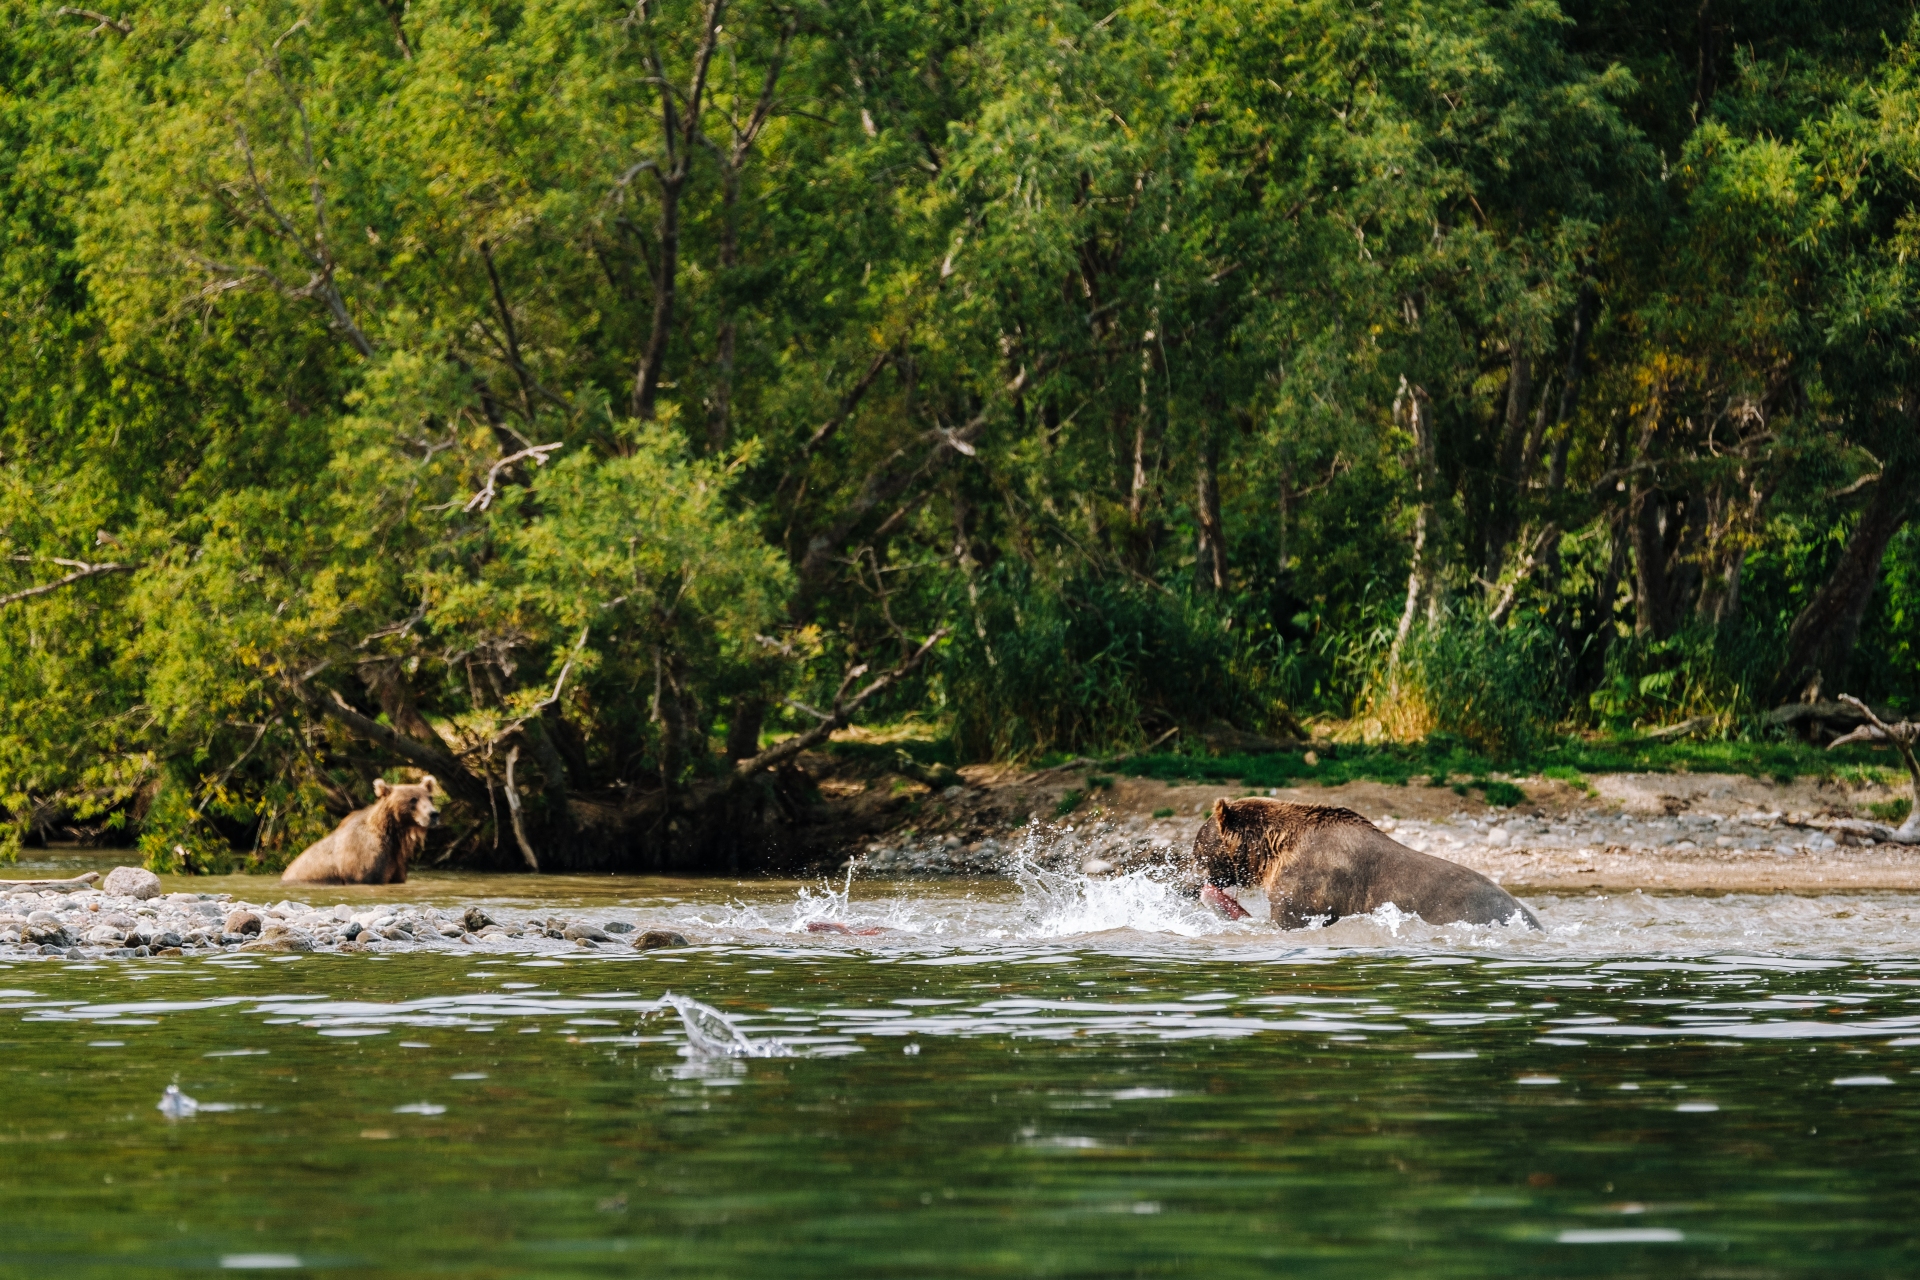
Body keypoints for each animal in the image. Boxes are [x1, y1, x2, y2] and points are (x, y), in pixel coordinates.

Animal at [280, 775, 439, 886]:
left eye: (429, 798)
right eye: (413, 799)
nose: (433, 814)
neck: (393, 835)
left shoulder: (396, 862)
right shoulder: (362, 862)